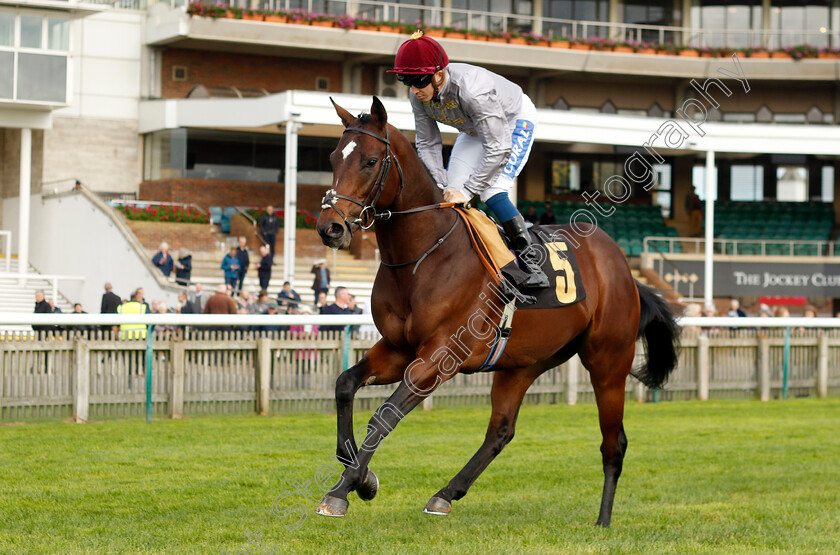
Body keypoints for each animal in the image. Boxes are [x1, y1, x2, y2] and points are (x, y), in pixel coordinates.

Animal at [316, 97, 684, 528]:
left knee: (614, 442)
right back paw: (445, 494)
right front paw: (361, 476)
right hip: (524, 363)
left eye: (371, 161)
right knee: (502, 430)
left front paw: (342, 490)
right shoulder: (397, 348)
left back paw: (603, 521)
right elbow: (344, 384)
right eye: (332, 158)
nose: (330, 227)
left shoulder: (439, 357)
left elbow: (384, 415)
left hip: (608, 362)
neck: (424, 256)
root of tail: (624, 267)